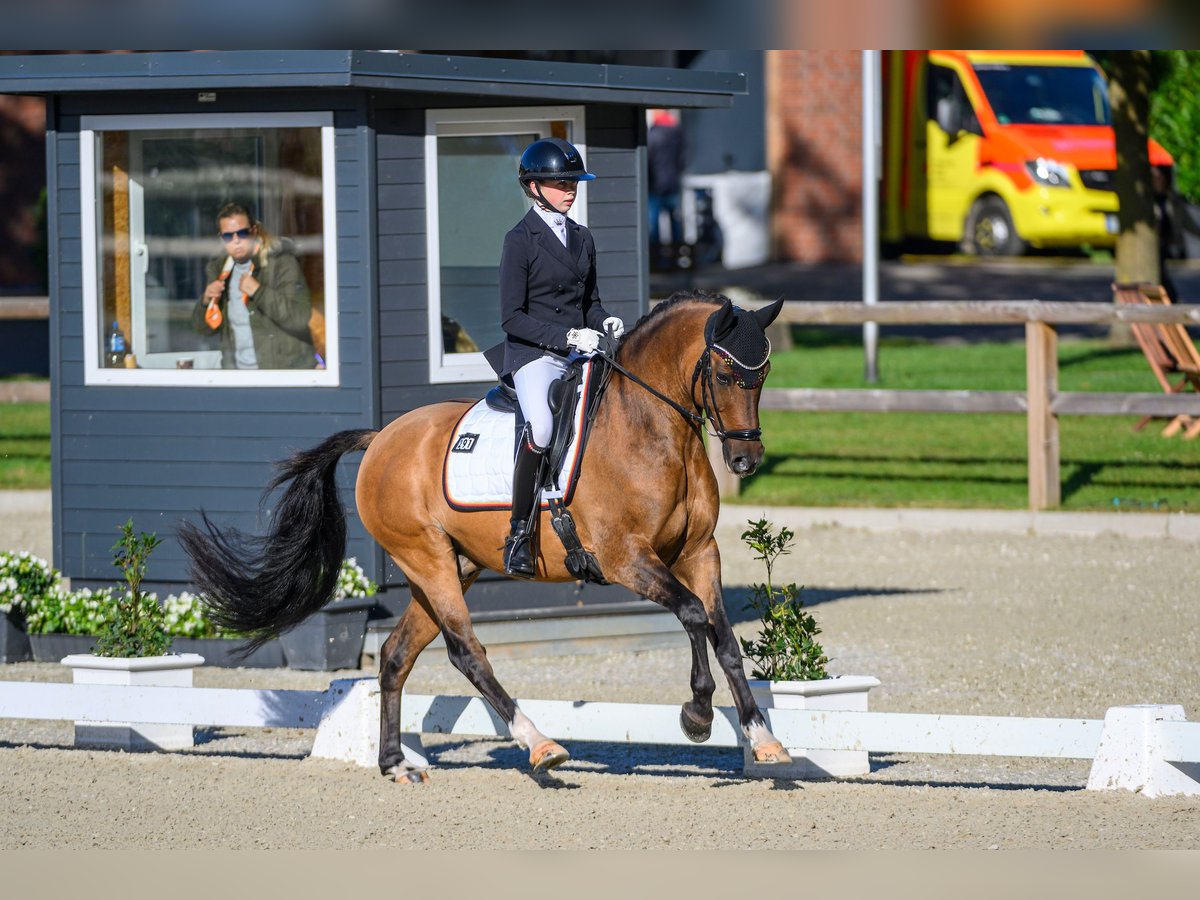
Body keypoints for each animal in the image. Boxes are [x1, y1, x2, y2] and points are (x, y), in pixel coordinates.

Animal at [180, 290, 796, 782]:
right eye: (724, 375)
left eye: (763, 377)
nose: (746, 461)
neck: (652, 430)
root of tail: (382, 437)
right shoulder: (626, 558)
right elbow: (692, 615)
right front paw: (696, 715)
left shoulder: (699, 552)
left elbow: (725, 637)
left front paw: (764, 739)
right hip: (427, 559)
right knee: (467, 652)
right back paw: (540, 744)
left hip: (452, 567)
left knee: (396, 655)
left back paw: (395, 764)